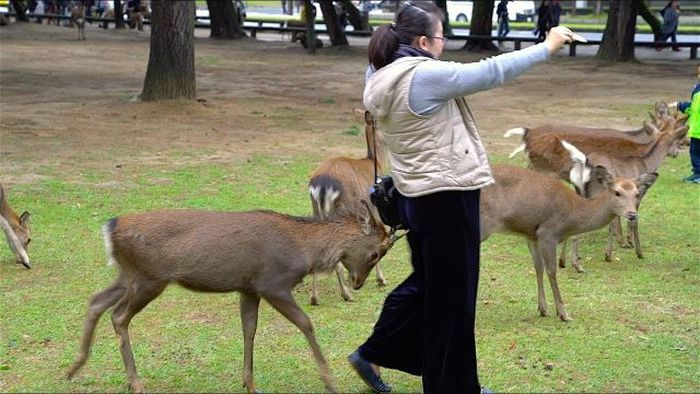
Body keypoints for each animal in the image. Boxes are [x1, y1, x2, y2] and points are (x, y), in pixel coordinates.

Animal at [308, 109, 392, 306]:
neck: (375, 162)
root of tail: (322, 184)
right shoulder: (373, 208)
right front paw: (381, 280)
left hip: (316, 209)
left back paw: (314, 298)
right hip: (342, 209)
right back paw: (346, 294)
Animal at [482, 165, 656, 322]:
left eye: (637, 194)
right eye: (617, 192)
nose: (632, 214)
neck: (571, 216)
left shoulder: (531, 235)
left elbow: (538, 267)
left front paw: (543, 309)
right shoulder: (548, 233)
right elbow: (552, 271)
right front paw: (563, 314)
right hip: (485, 225)